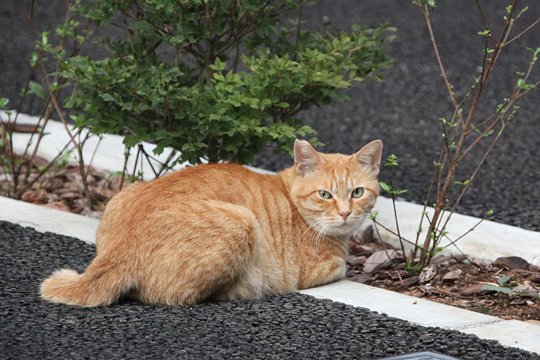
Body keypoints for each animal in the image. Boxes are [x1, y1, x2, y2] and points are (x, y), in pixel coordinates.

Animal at [40, 140, 382, 306]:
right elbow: (341, 266)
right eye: (325, 194)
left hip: (125, 193)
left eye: (357, 192)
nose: (345, 213)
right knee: (173, 296)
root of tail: (119, 250)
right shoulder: (321, 269)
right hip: (242, 221)